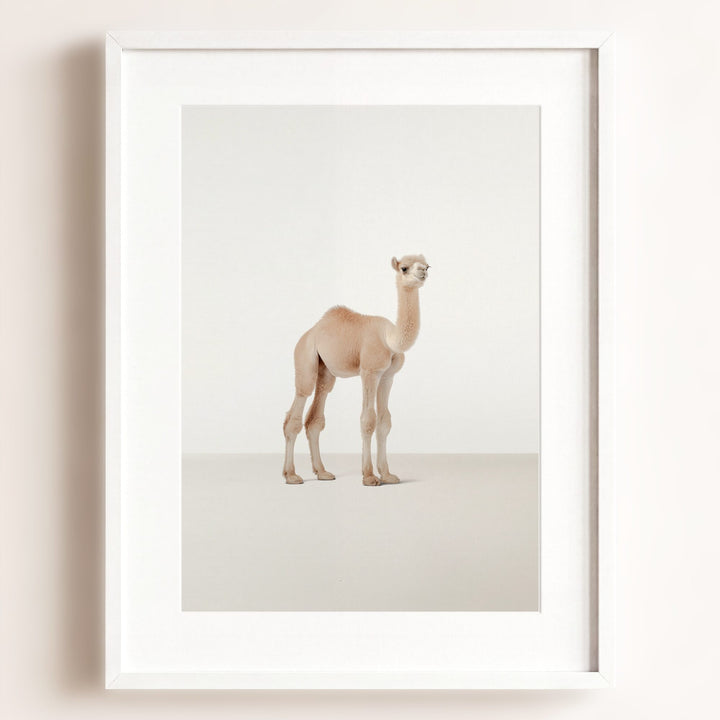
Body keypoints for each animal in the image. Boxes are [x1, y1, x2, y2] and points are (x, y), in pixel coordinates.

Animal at [282, 254, 430, 486]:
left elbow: (384, 421)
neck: (390, 338)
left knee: (315, 416)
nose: (422, 271)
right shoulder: (369, 371)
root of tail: (310, 332)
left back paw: (322, 472)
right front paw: (369, 476)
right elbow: (368, 419)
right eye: (404, 268)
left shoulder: (387, 376)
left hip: (326, 371)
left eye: (428, 265)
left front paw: (387, 474)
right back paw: (291, 475)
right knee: (297, 407)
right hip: (304, 357)